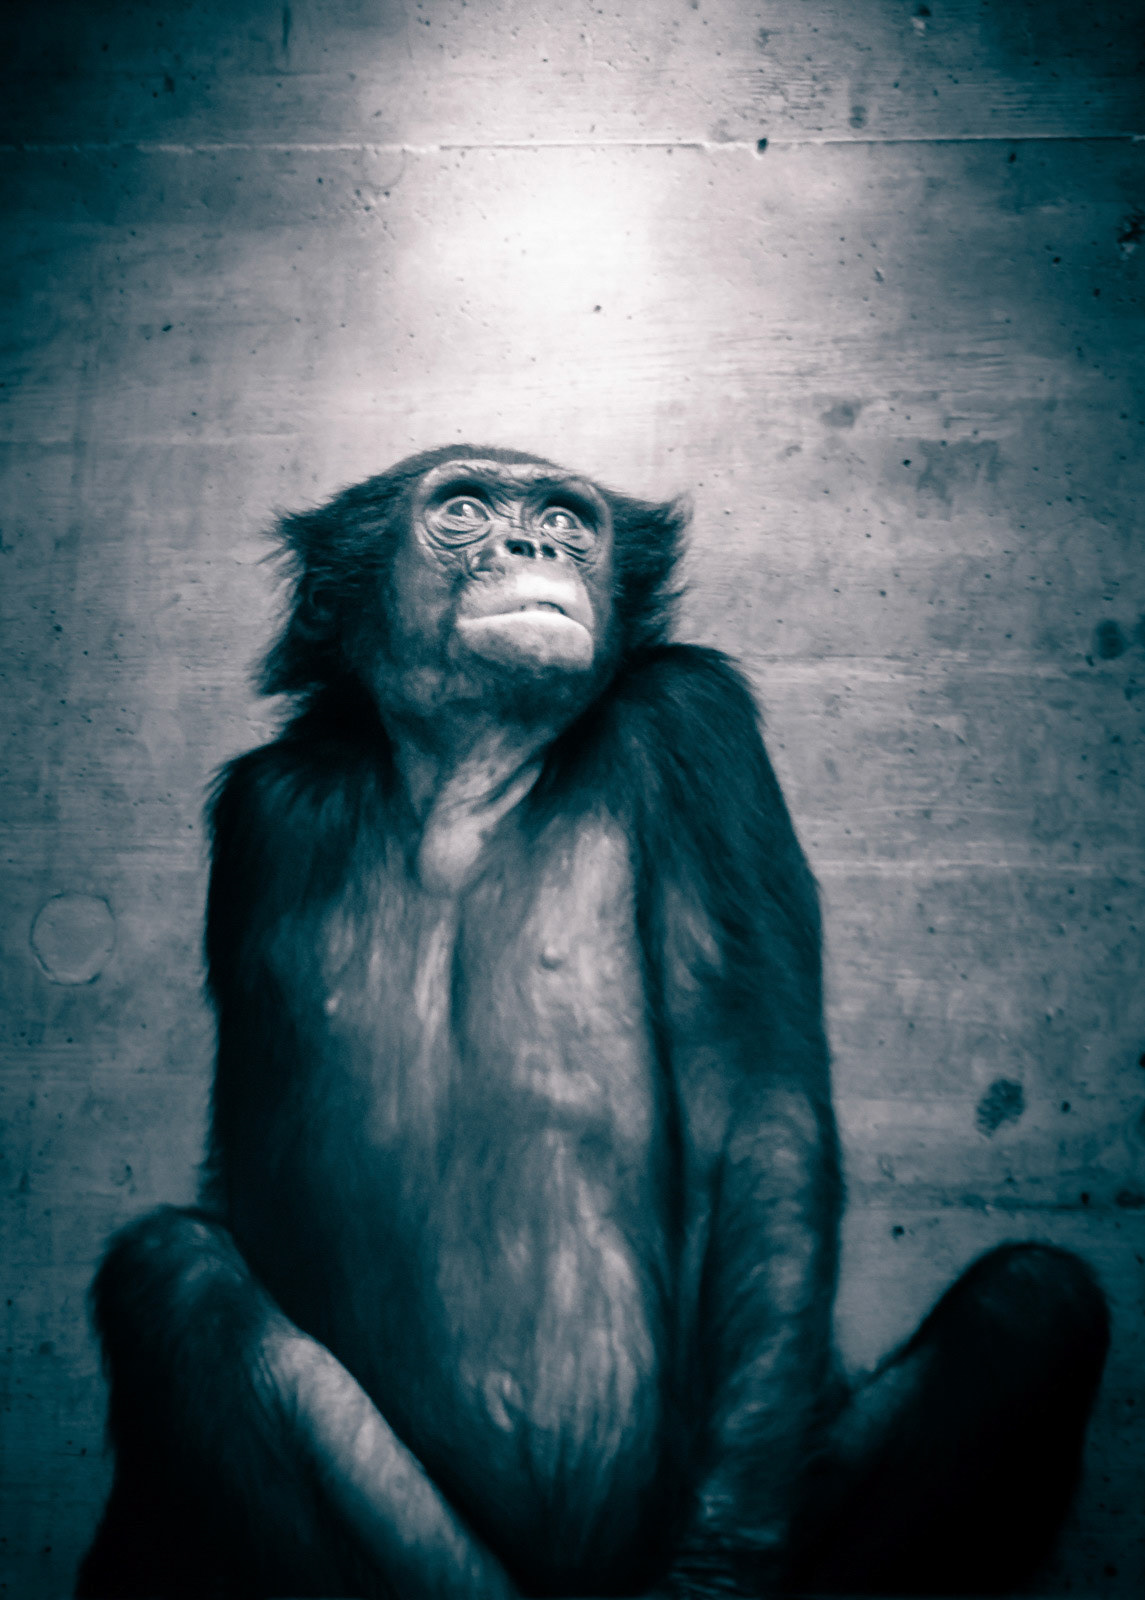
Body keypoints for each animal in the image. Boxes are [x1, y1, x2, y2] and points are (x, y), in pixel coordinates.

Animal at [78, 446, 1109, 1598]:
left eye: (569, 519)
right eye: (463, 509)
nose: (531, 544)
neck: (466, 776)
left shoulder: (695, 725)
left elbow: (756, 1118)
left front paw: (713, 1571)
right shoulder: (263, 816)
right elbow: (244, 1178)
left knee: (1033, 1304)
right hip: (440, 1568)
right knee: (170, 1279)